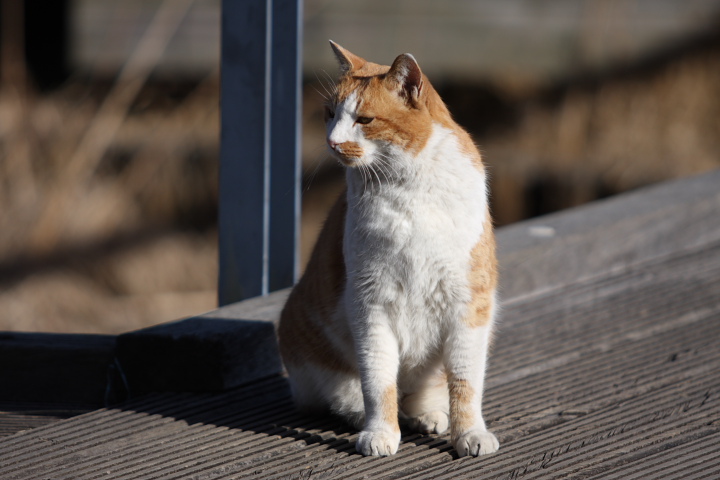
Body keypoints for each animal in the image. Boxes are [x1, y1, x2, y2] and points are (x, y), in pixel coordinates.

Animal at [278, 41, 500, 458]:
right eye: (330, 114)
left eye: (364, 119)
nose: (332, 142)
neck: (407, 189)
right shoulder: (370, 306)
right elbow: (378, 381)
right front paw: (380, 432)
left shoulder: (470, 304)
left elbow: (465, 382)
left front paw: (469, 433)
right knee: (352, 394)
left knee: (421, 394)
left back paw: (427, 415)